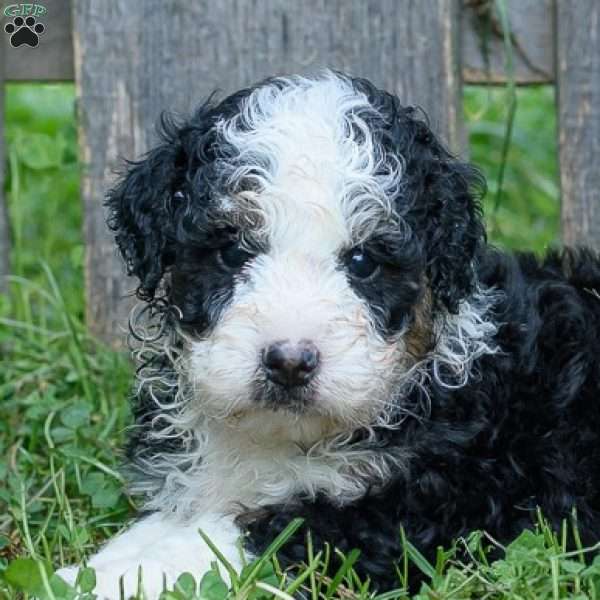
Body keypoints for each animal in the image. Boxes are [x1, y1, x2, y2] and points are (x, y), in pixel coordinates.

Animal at [58, 70, 600, 596]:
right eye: (232, 252)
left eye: (362, 262)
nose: (289, 363)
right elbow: (162, 523)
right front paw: (95, 568)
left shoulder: (427, 506)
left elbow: (252, 534)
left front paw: (115, 578)